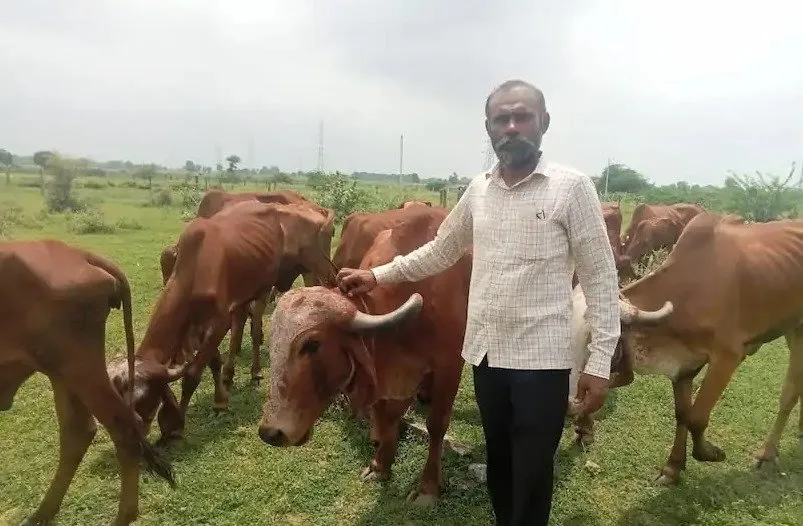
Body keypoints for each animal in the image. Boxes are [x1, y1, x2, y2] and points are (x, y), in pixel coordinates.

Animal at [0, 239, 175, 526]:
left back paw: (123, 515)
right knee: (79, 431)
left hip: (77, 366)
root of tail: (78, 252)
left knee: (123, 428)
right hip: (60, 371)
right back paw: (43, 512)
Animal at [108, 201, 338, 445]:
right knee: (243, 327)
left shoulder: (218, 322)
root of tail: (318, 209)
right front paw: (221, 398)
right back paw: (235, 375)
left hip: (311, 271)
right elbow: (214, 361)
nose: (130, 438)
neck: (194, 270)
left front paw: (182, 424)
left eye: (142, 400)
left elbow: (192, 374)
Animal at [257, 206, 472, 507]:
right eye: (274, 341)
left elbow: (436, 425)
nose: (269, 432)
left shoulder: (450, 366)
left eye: (311, 345)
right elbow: (387, 414)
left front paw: (428, 488)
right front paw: (381, 465)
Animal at [573, 212, 803, 485]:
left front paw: (710, 452)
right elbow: (683, 413)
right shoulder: (684, 365)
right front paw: (673, 468)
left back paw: (768, 453)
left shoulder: (727, 357)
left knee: (789, 393)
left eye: (592, 342)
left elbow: (697, 416)